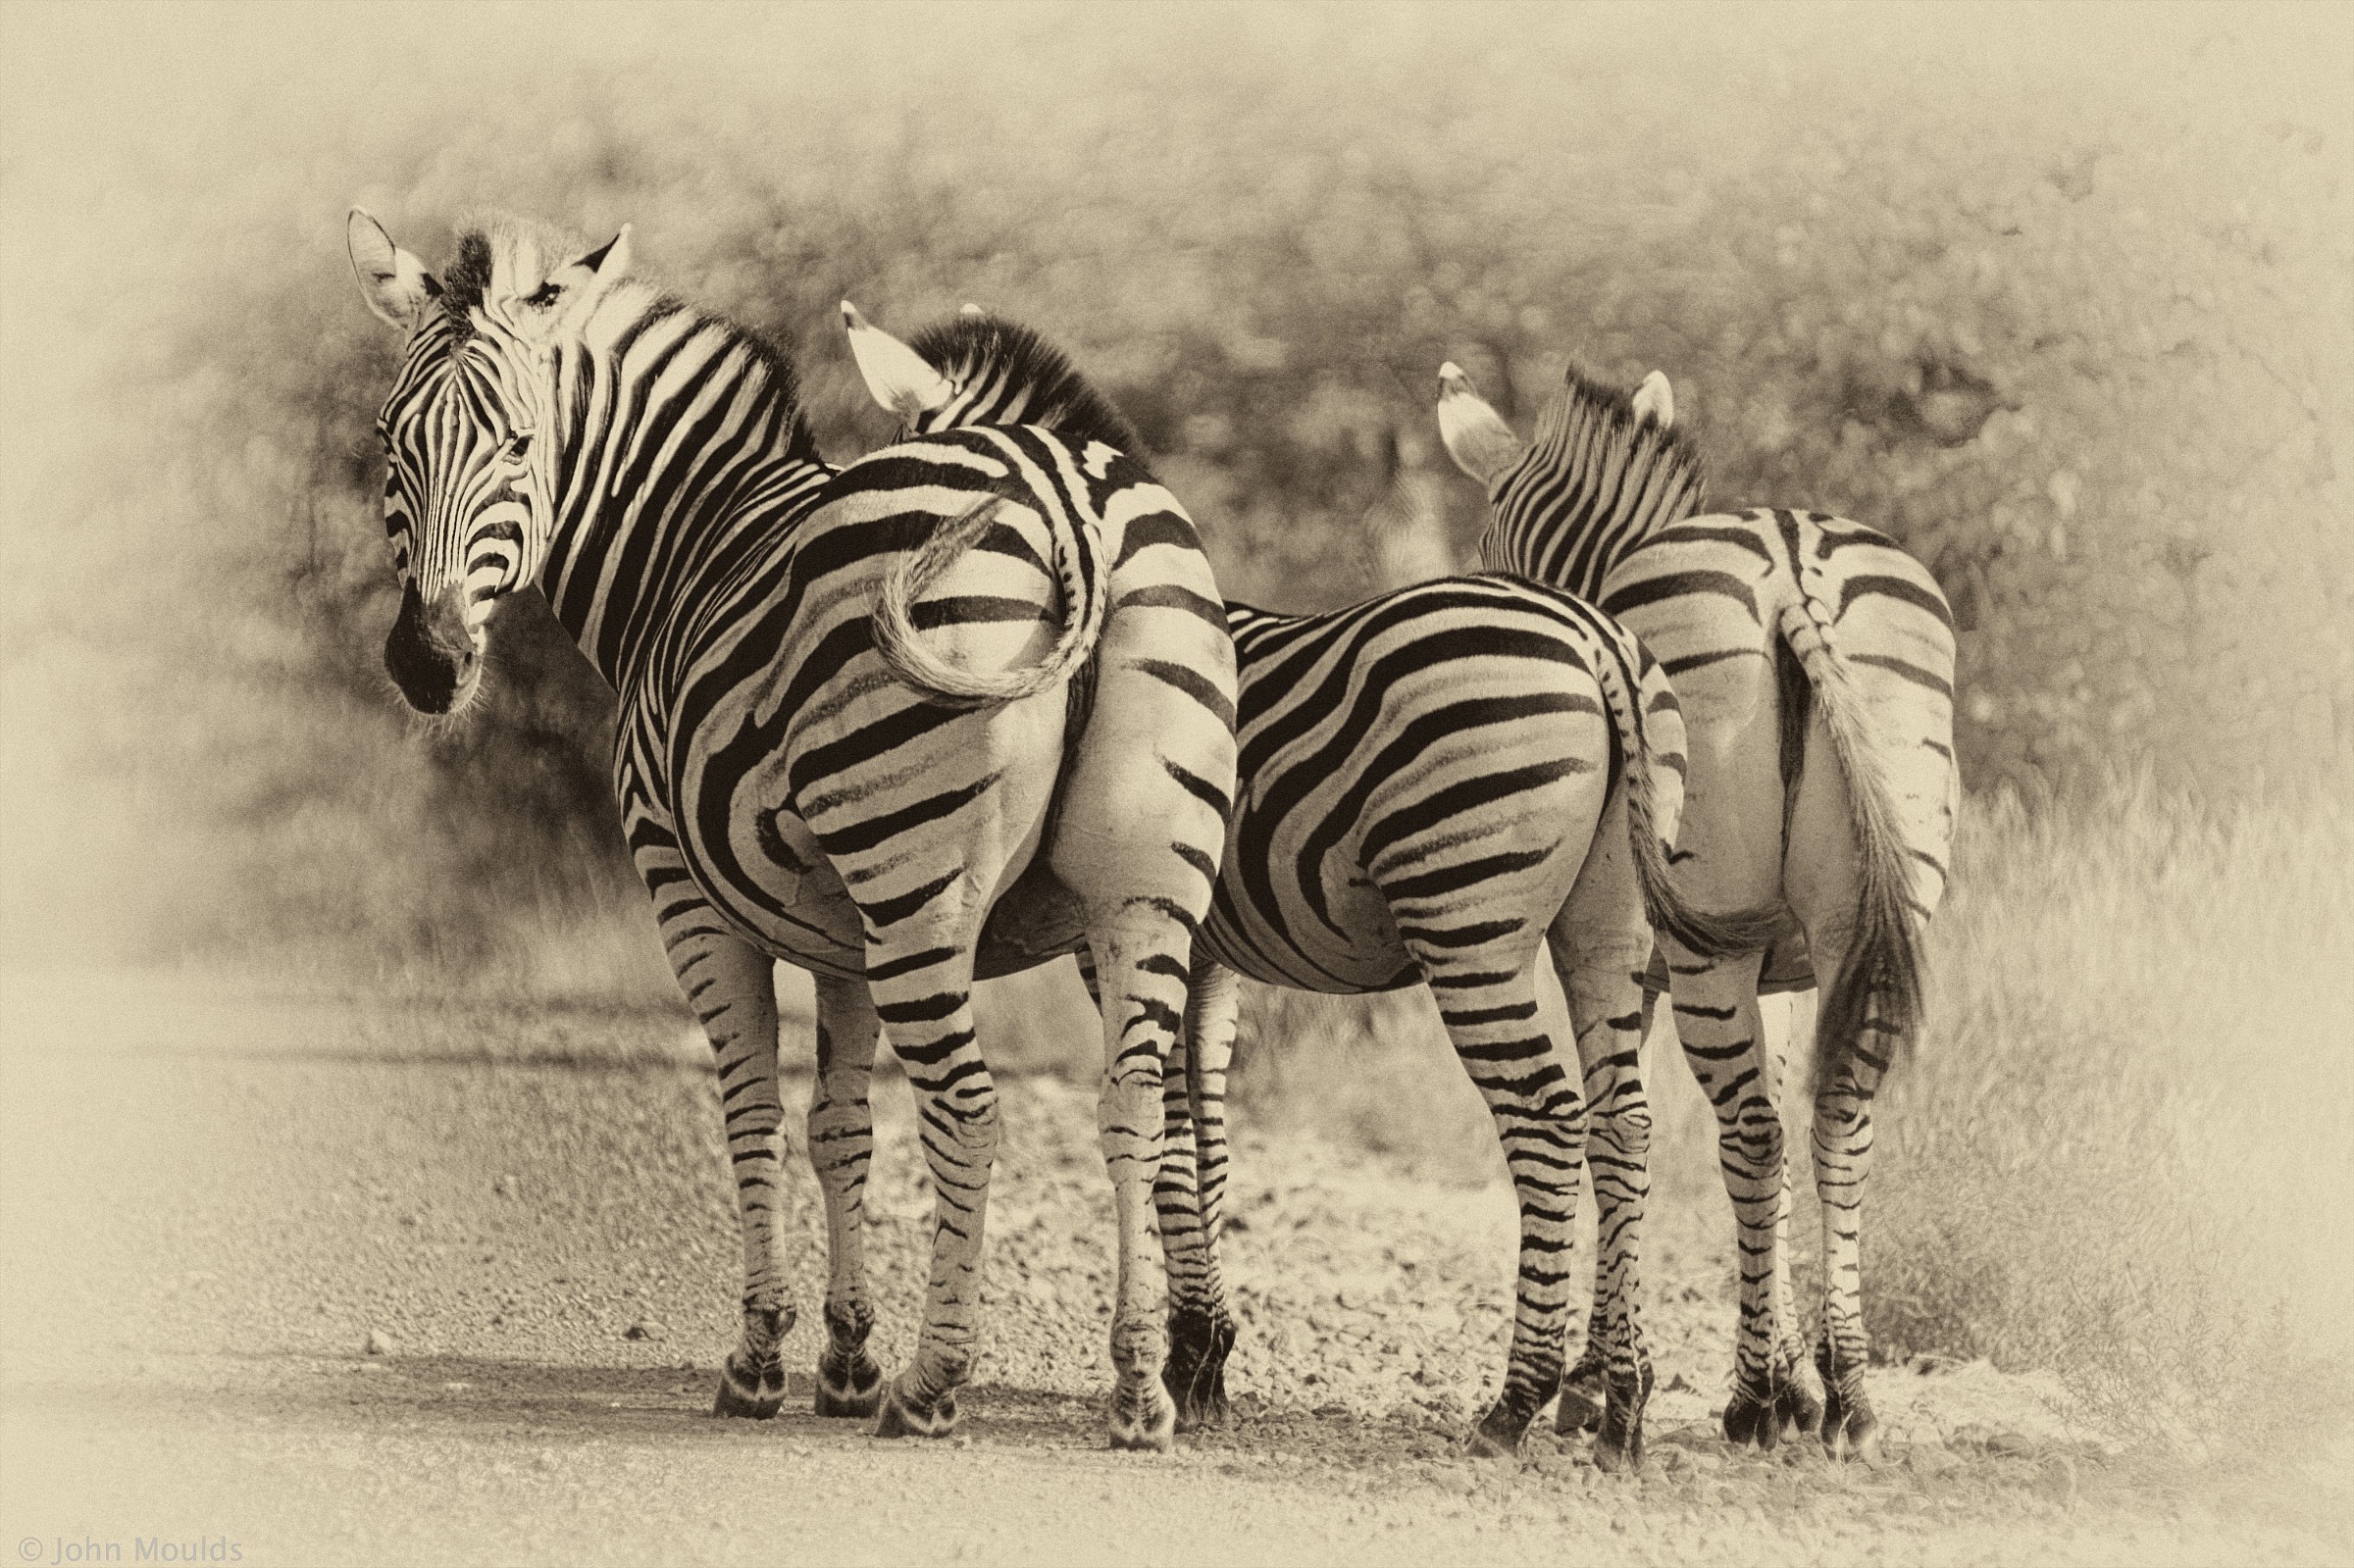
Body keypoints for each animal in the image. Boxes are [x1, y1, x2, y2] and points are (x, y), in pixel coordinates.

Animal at [344, 210, 1237, 1453]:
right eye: (391, 438)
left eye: (521, 445)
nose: (426, 665)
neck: (690, 540)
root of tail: (1067, 490)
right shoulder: (843, 930)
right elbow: (841, 1126)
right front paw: (845, 1356)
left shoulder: (690, 895)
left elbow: (755, 1112)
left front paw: (765, 1360)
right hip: (1141, 889)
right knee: (1137, 1112)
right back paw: (1139, 1391)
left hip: (914, 873)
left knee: (970, 1110)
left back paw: (933, 1389)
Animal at [841, 305, 1772, 1466]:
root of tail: (1596, 634)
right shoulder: (1207, 956)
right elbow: (1202, 1123)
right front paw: (1202, 1356)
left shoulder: (1126, 934)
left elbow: (1170, 1131)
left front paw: (1183, 1362)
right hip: (1608, 926)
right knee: (1626, 1125)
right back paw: (1625, 1405)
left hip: (1469, 918)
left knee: (1551, 1120)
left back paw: (1516, 1402)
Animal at [1434, 357, 1959, 1460]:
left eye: (1493, 559)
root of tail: (1792, 568)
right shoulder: (1789, 974)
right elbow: (1773, 1154)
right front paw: (1794, 1372)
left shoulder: (1630, 959)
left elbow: (1614, 1132)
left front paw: (1598, 1381)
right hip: (1859, 924)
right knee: (1833, 1122)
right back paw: (1846, 1397)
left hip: (1702, 937)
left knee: (1753, 1132)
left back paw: (1754, 1403)